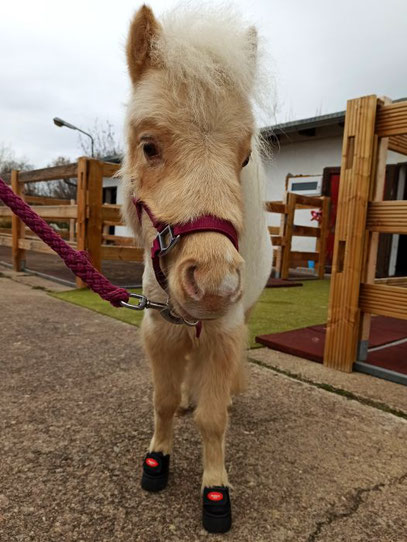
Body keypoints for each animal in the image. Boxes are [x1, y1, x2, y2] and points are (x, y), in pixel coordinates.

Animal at [121, 5, 274, 536]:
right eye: (149, 146)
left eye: (244, 155)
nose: (214, 284)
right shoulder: (159, 327)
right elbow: (164, 402)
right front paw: (157, 462)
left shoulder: (224, 330)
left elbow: (212, 421)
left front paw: (215, 490)